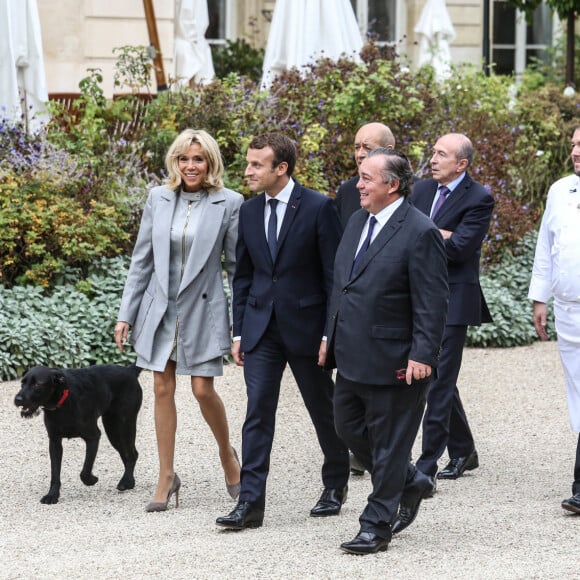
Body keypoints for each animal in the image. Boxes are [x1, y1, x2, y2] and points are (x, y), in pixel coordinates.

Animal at [14, 362, 143, 502]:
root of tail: (130, 370)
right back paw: (128, 482)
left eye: (37, 384)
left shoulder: (93, 437)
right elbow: (55, 473)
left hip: (122, 426)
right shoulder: (54, 442)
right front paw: (52, 495)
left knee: (132, 454)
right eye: (22, 383)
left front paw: (92, 480)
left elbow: (85, 471)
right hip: (114, 430)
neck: (62, 402)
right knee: (126, 454)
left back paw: (127, 482)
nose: (17, 399)